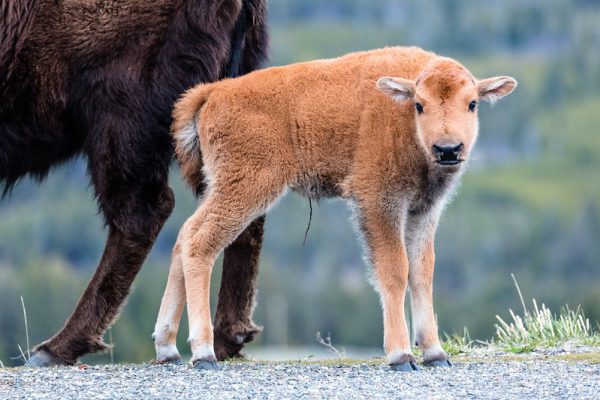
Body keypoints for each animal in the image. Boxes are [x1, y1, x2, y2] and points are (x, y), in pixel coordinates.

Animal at [154, 46, 516, 368]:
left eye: (472, 103)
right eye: (419, 105)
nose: (448, 149)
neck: (402, 120)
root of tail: (214, 92)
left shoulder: (423, 210)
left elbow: (422, 272)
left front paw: (436, 353)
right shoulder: (379, 203)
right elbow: (395, 270)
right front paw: (401, 356)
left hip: (223, 187)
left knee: (184, 236)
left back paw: (167, 349)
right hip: (246, 188)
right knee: (200, 242)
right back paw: (203, 354)